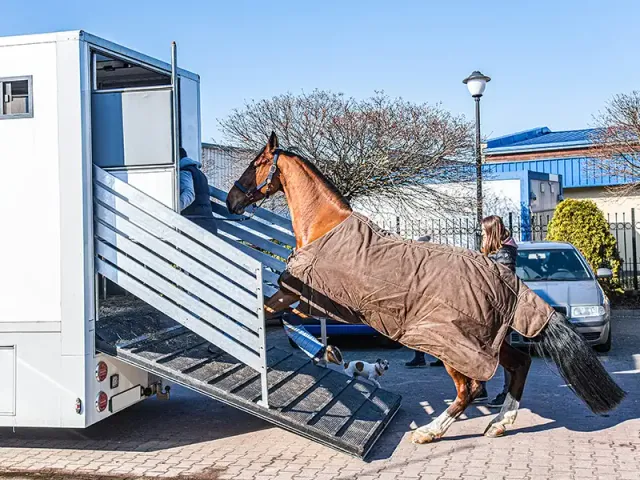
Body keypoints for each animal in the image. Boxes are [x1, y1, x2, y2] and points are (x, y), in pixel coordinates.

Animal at [226, 131, 625, 443]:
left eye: (256, 163)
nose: (232, 200)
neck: (325, 227)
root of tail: (506, 277)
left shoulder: (301, 296)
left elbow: (273, 312)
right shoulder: (316, 303)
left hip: (453, 345)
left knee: (470, 389)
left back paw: (431, 431)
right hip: (488, 341)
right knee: (520, 364)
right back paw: (499, 423)